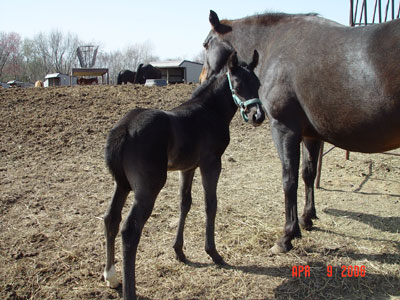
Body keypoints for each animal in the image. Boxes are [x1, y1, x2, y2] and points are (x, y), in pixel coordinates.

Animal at [104, 51, 266, 300]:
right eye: (238, 85)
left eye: (257, 84)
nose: (258, 115)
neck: (208, 112)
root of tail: (124, 128)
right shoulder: (211, 162)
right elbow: (210, 204)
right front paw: (213, 253)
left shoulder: (187, 167)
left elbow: (185, 203)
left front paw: (179, 251)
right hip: (149, 187)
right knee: (130, 229)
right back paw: (129, 291)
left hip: (121, 183)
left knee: (111, 218)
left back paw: (111, 277)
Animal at [202, 10, 400, 254]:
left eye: (205, 44)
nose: (202, 79)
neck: (274, 43)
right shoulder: (310, 135)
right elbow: (308, 173)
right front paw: (307, 218)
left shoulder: (284, 129)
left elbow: (290, 179)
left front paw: (287, 235)